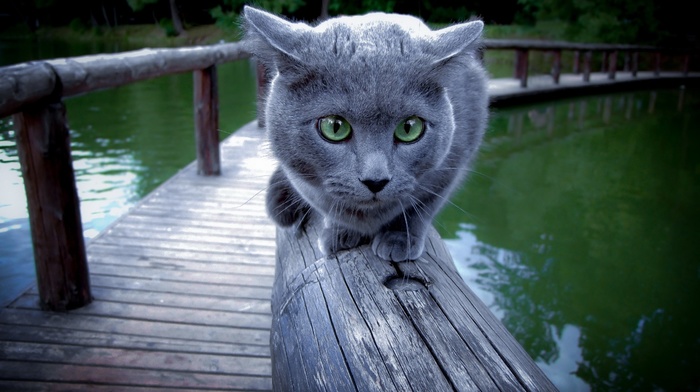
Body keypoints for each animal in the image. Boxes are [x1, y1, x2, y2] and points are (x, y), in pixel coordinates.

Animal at [243, 5, 490, 260]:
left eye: (409, 128)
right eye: (334, 127)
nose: (376, 180)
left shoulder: (453, 163)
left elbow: (421, 207)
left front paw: (399, 238)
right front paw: (340, 233)